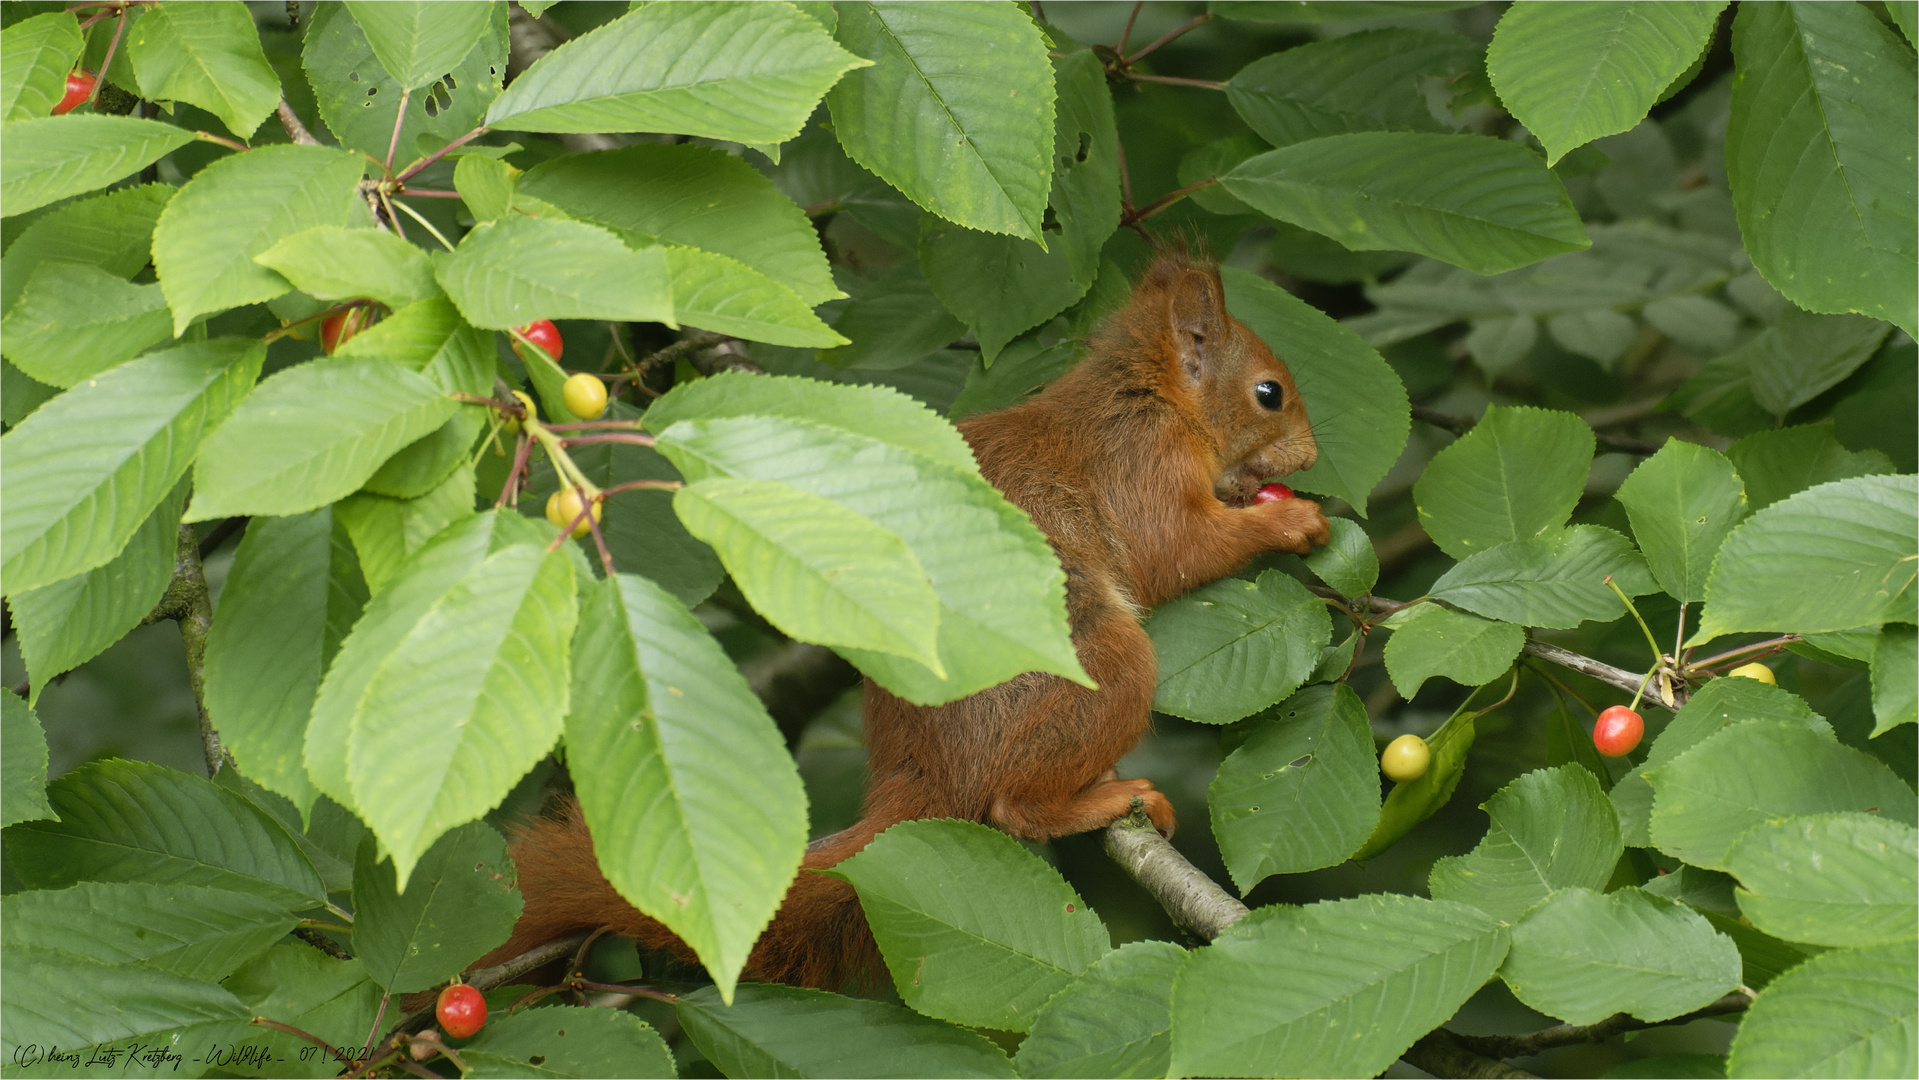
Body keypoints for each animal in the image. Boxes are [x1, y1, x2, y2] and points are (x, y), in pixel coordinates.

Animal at [491, 249, 1335, 989]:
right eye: (1268, 393)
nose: (1309, 455)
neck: (1151, 397)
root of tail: (918, 778)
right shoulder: (1139, 464)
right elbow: (1177, 549)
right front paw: (1289, 522)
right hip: (1103, 662)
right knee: (1012, 807)